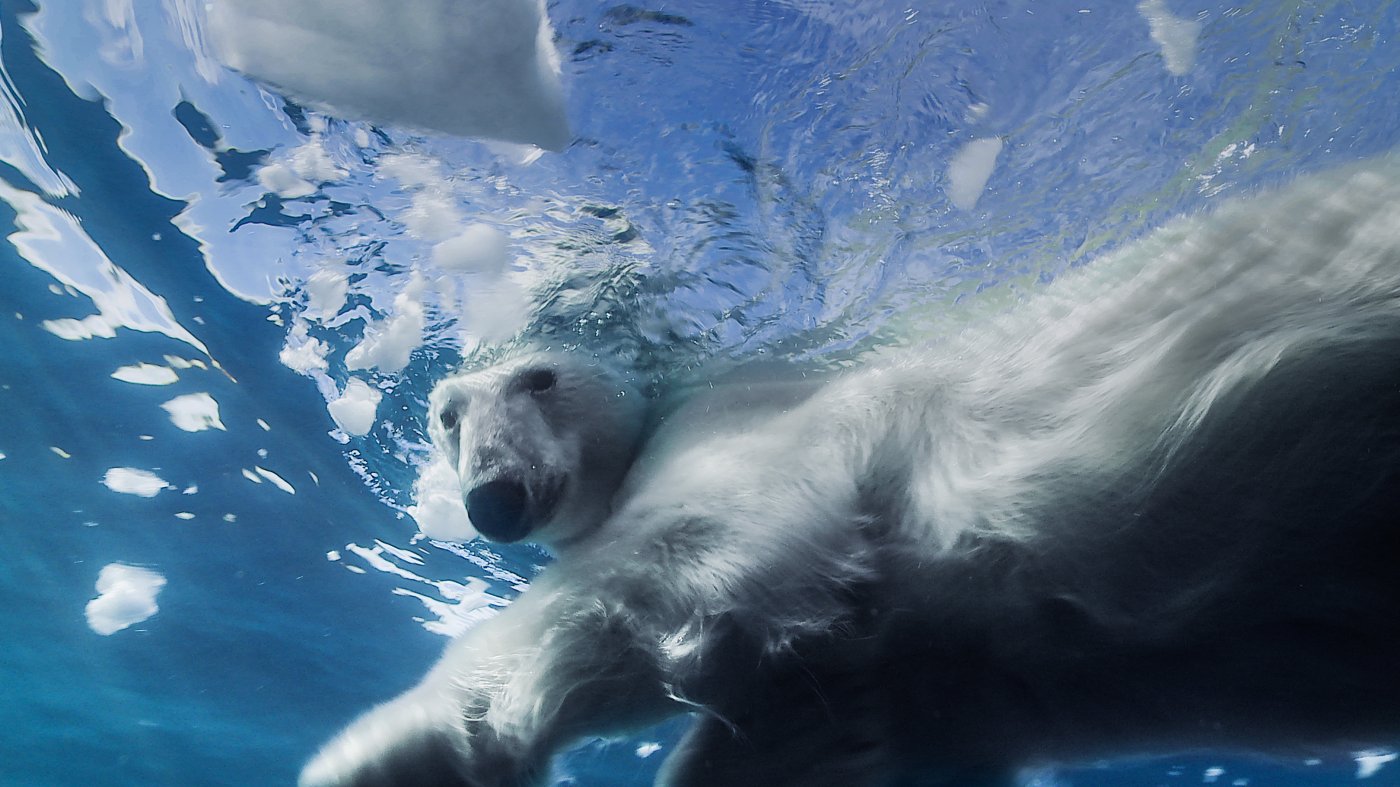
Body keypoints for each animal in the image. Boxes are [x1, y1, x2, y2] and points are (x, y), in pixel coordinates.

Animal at [301, 161, 1400, 784]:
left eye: (538, 377)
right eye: (447, 416)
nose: (492, 499)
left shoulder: (755, 443)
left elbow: (662, 573)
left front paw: (382, 750)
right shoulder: (921, 674)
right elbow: (827, 728)